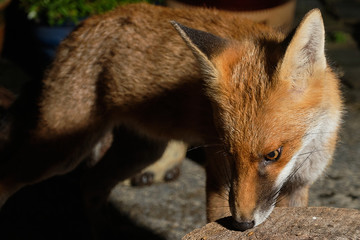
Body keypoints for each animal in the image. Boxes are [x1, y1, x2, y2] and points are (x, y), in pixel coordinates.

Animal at [0, 3, 344, 231]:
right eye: (228, 153)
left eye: (273, 155)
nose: (243, 224)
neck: (304, 155)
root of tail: (84, 24)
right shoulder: (219, 180)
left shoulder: (298, 190)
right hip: (60, 152)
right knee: (12, 179)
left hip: (141, 152)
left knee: (90, 185)